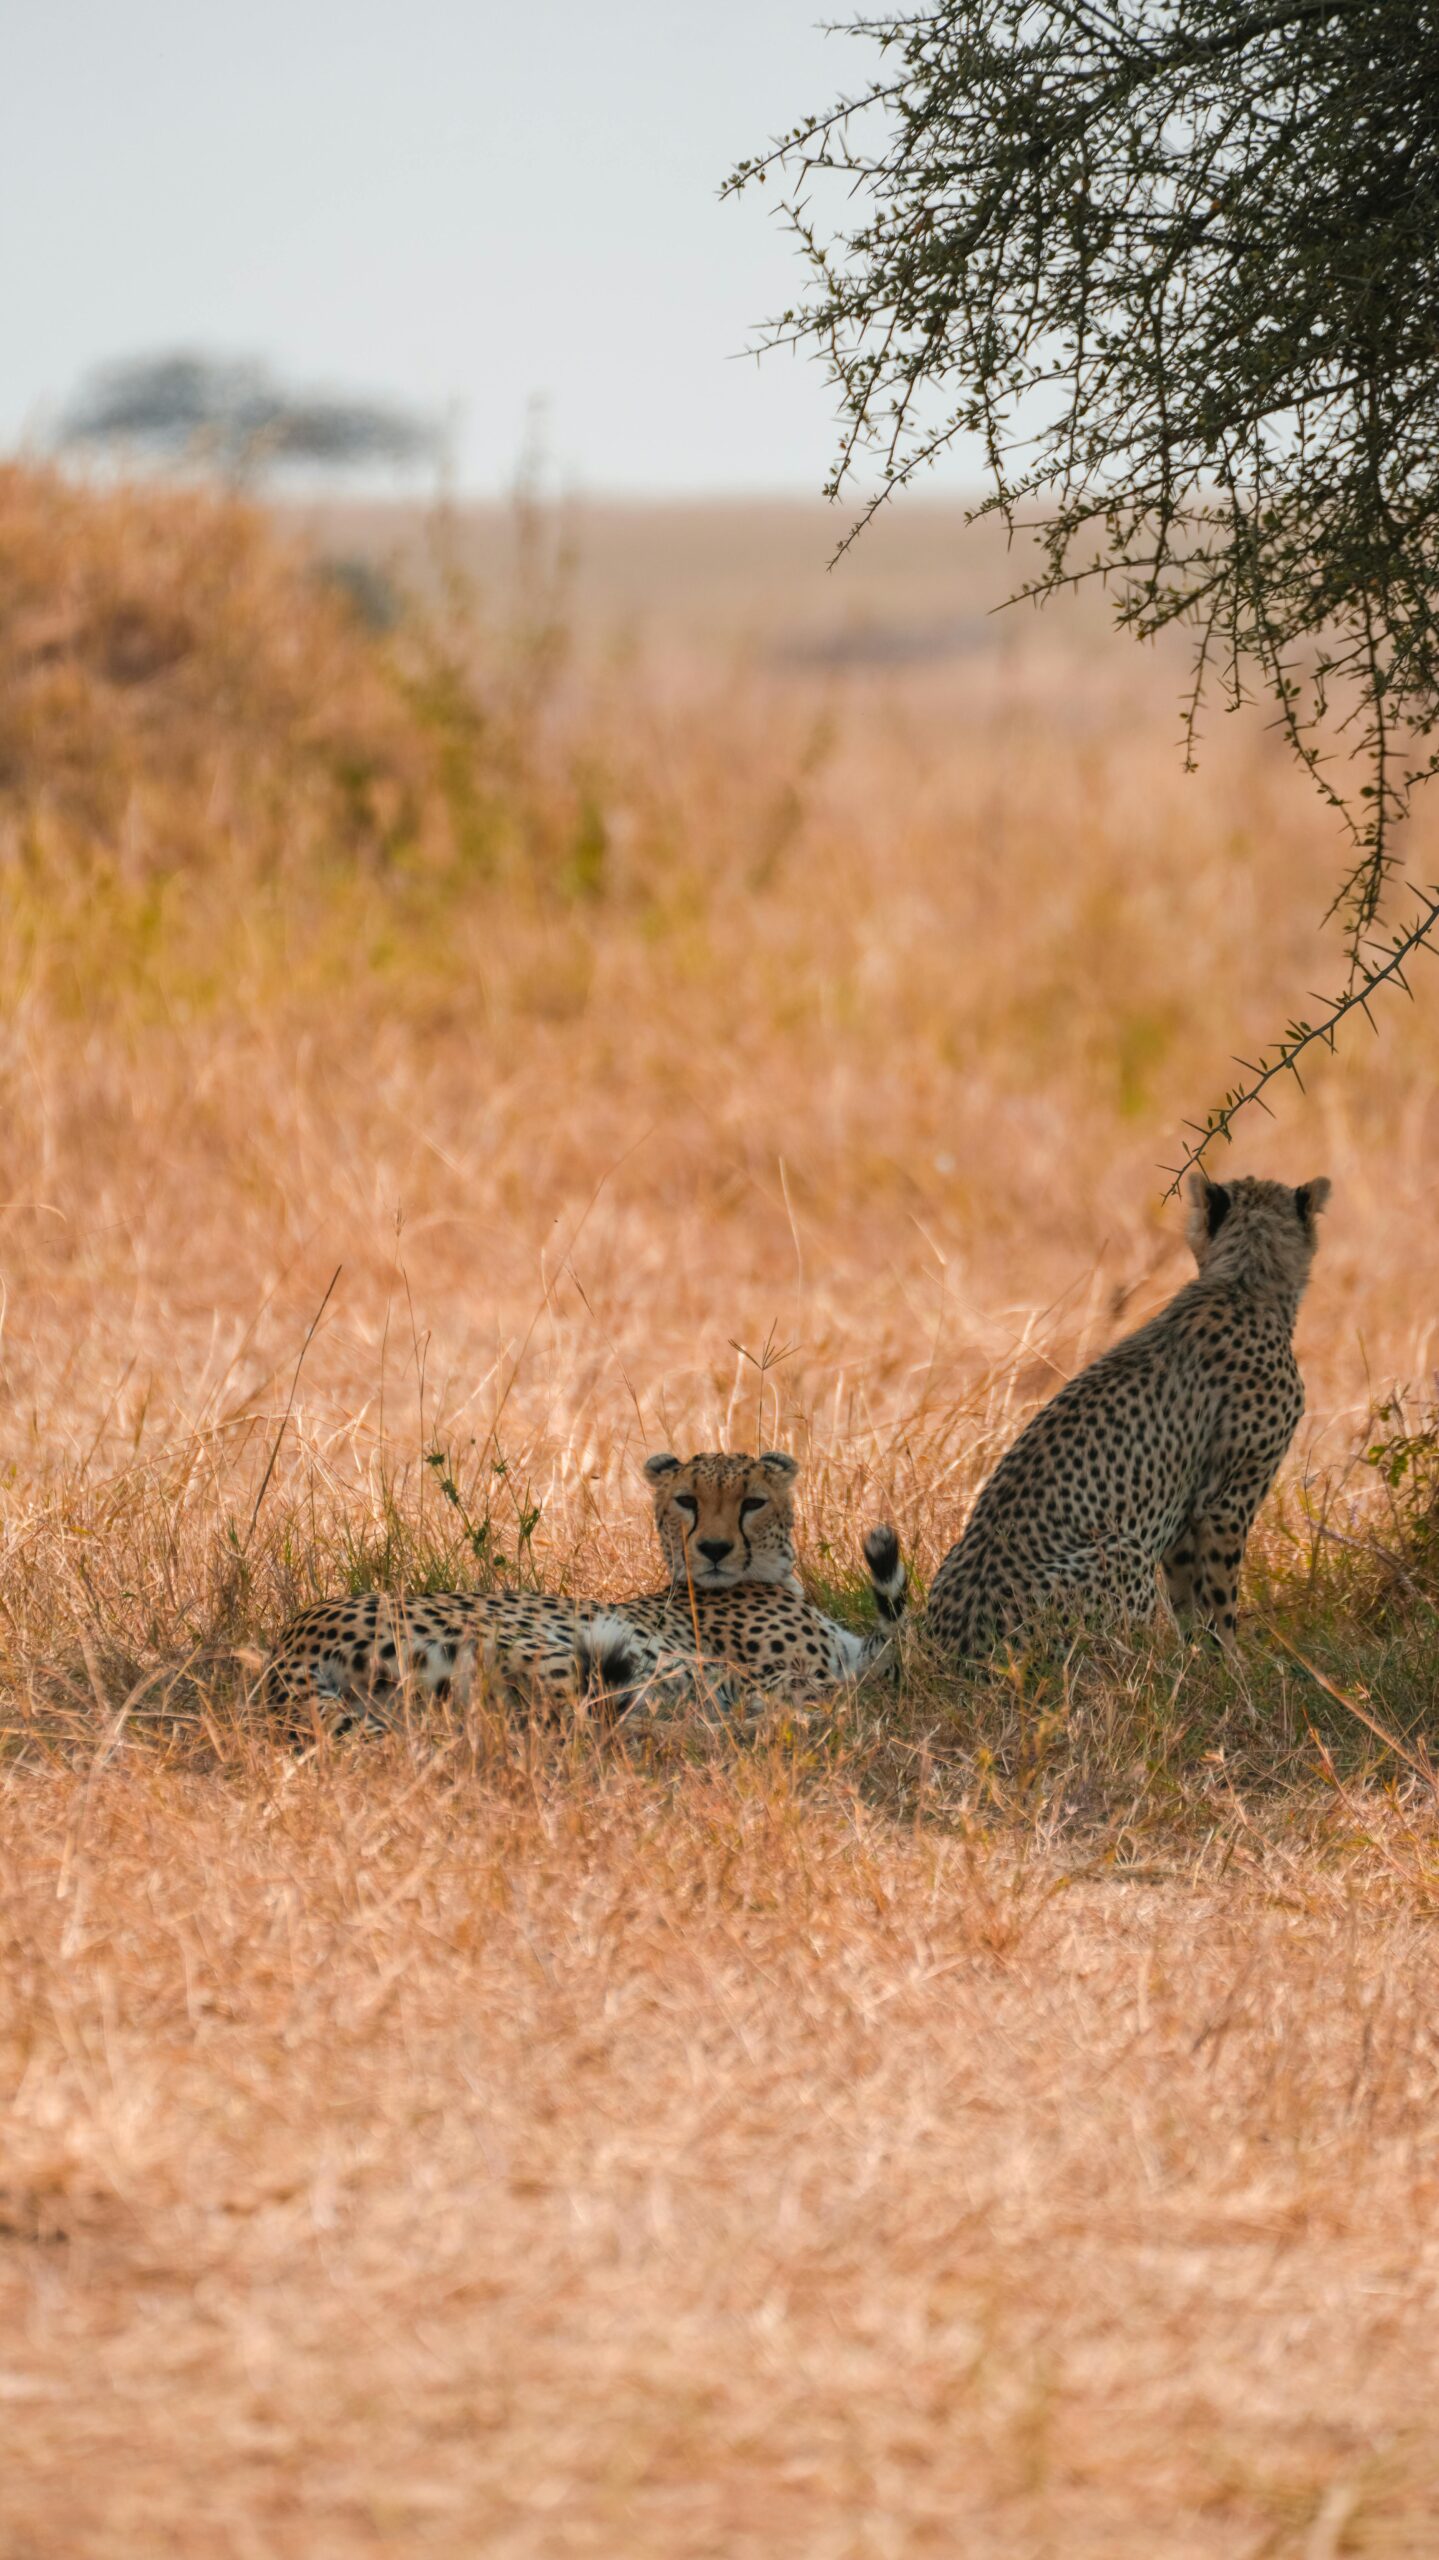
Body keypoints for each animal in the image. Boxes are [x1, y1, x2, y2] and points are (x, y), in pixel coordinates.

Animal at [264, 1447, 907, 1729]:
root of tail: (288, 1641)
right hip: (590, 1656)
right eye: (686, 1501)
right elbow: (884, 1657)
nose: (714, 1549)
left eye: (752, 1502)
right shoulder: (801, 1669)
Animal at [924, 1172, 1331, 1662]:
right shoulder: (1226, 1502)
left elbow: (1187, 1601)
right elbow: (1220, 1598)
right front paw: (1234, 1665)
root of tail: (947, 1649)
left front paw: (1198, 1662)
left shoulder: (1182, 1514)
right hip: (1123, 1549)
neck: (1243, 1284)